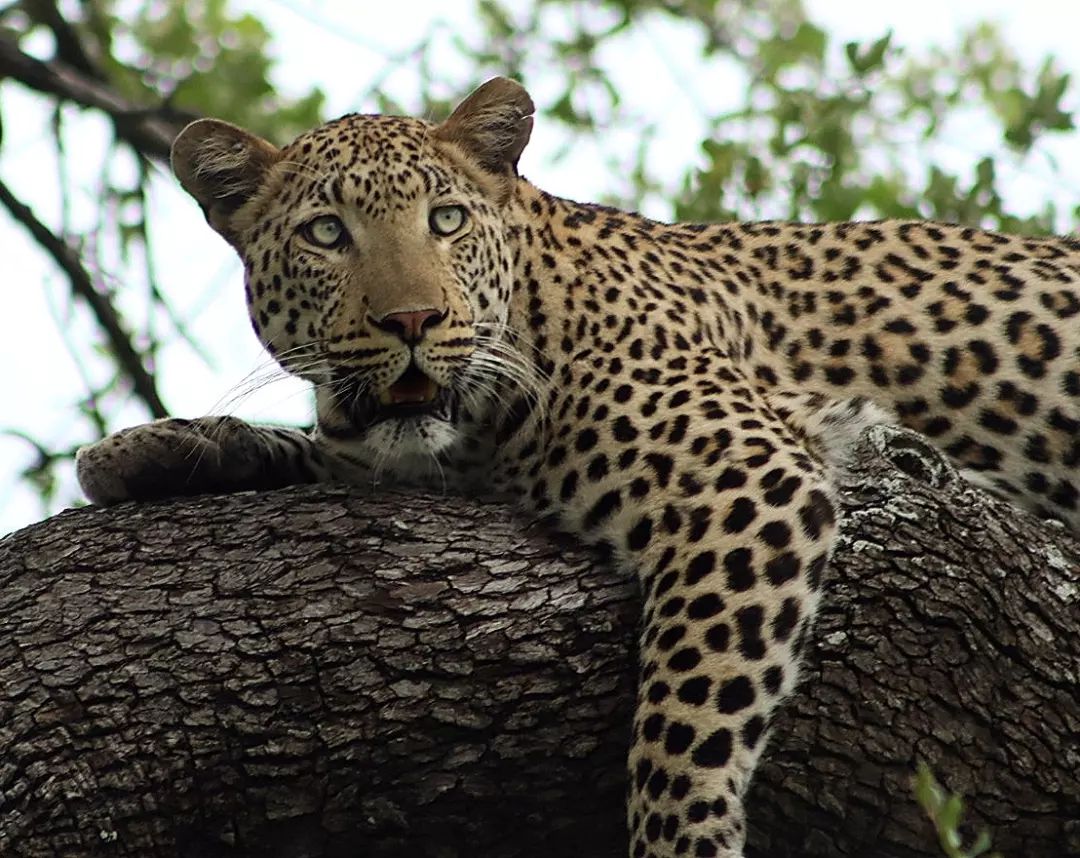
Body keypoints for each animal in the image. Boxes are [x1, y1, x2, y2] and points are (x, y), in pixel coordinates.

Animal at [76, 77, 1080, 858]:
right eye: (326, 233)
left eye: (446, 221)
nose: (413, 321)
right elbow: (306, 450)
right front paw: (153, 448)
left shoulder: (746, 472)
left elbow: (688, 714)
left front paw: (684, 840)